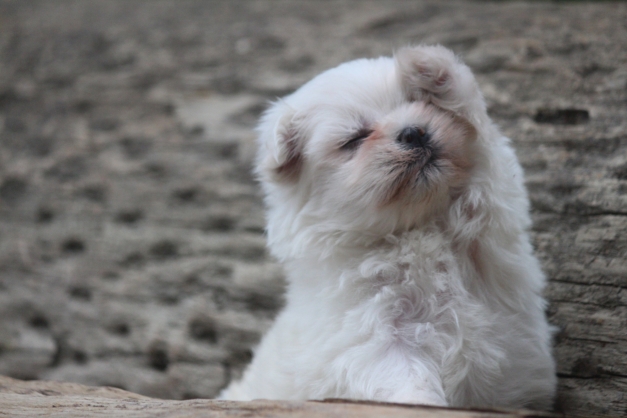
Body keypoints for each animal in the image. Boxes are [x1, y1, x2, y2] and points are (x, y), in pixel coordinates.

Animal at [219, 45, 556, 409]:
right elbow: (403, 376)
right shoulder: (374, 333)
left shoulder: (489, 204)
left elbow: (475, 118)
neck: (413, 228)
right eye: (355, 139)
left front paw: (430, 69)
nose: (413, 131)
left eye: (419, 102)